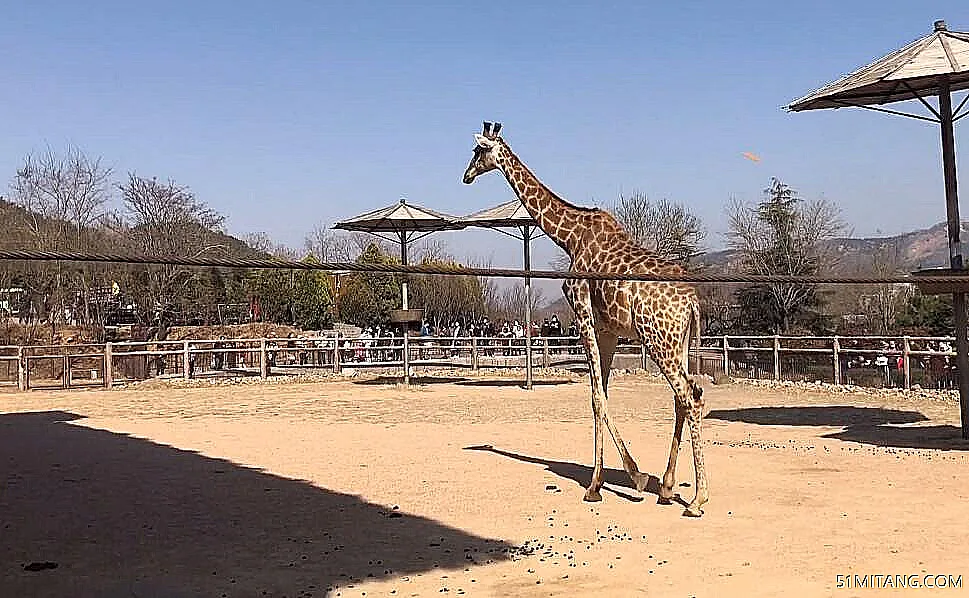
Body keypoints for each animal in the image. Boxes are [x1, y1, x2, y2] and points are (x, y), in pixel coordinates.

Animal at [458, 122, 708, 516]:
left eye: (477, 151)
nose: (465, 176)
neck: (570, 236)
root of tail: (692, 301)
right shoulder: (609, 330)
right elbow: (601, 394)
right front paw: (614, 481)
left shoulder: (583, 314)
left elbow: (595, 398)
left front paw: (613, 482)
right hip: (678, 341)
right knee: (683, 398)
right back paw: (667, 489)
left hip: (658, 340)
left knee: (690, 396)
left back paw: (697, 498)